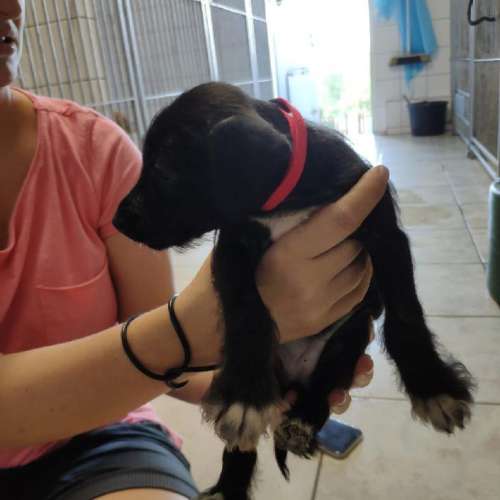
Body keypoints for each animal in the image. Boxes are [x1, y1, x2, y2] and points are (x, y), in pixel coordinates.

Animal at [113, 82, 475, 500]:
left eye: (163, 168)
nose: (117, 220)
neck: (285, 201)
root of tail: (291, 380)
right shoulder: (233, 249)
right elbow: (246, 310)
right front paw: (245, 396)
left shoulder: (386, 236)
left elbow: (405, 312)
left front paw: (433, 387)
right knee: (242, 443)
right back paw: (229, 485)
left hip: (347, 340)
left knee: (324, 384)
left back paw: (300, 423)